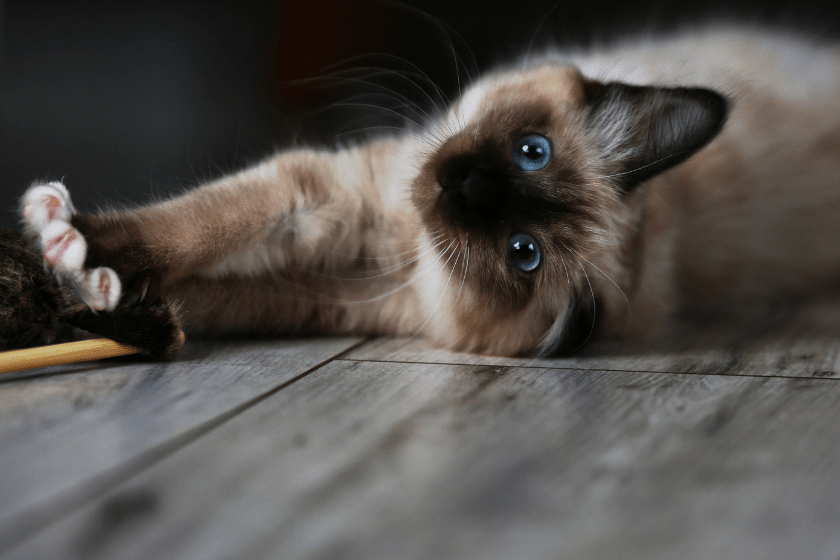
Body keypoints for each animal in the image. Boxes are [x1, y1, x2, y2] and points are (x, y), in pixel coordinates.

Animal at [16, 24, 840, 356]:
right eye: (533, 152)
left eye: (522, 252)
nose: (463, 184)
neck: (395, 239)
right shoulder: (319, 195)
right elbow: (189, 231)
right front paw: (65, 259)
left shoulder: (311, 289)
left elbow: (192, 283)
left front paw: (79, 279)